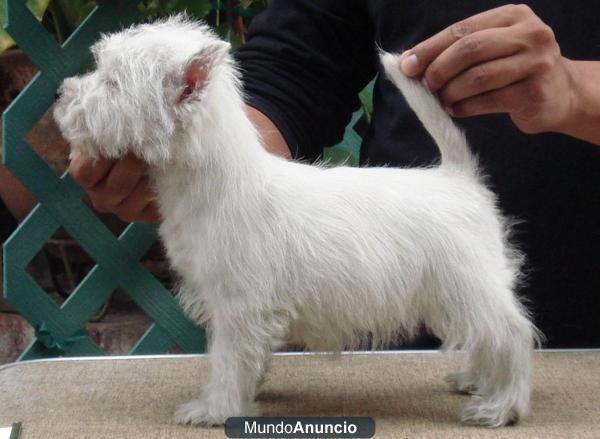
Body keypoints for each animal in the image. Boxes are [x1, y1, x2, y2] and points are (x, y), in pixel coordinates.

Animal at [55, 15, 540, 428]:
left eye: (112, 83)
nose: (61, 93)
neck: (214, 180)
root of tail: (458, 177)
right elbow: (246, 359)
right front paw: (247, 392)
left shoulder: (236, 304)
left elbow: (226, 360)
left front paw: (214, 409)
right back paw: (475, 381)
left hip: (467, 283)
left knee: (511, 334)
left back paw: (501, 406)